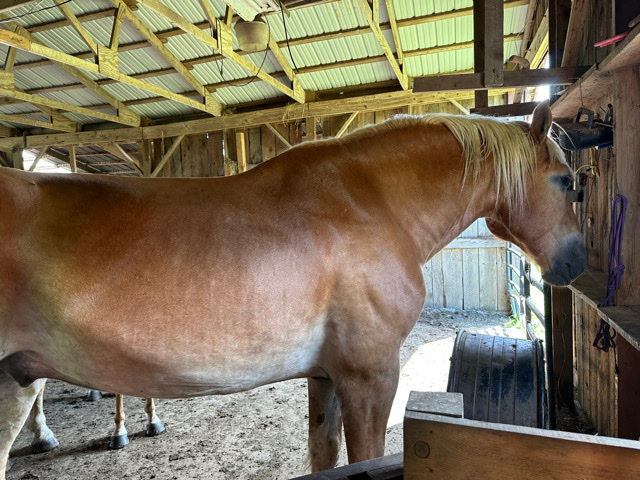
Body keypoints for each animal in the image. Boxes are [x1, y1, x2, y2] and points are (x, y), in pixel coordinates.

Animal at [0, 101, 585, 477]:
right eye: (565, 180)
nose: (576, 261)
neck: (370, 203)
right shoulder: (370, 376)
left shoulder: (326, 375)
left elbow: (324, 454)